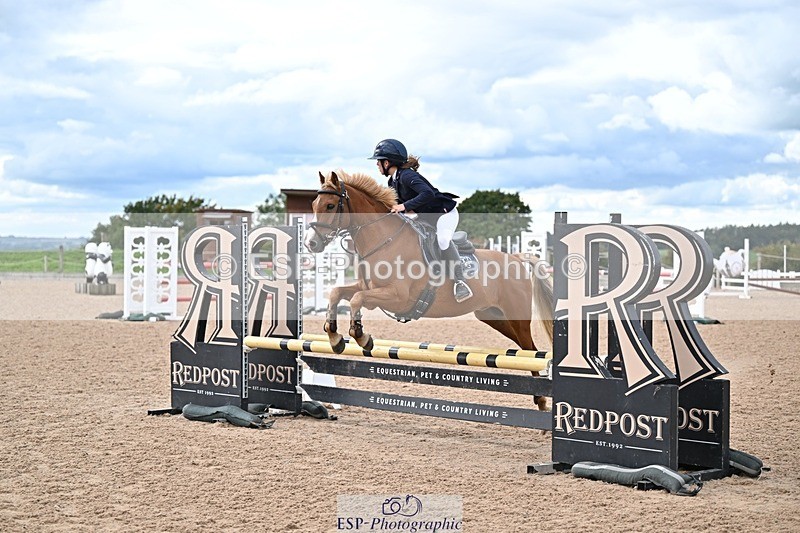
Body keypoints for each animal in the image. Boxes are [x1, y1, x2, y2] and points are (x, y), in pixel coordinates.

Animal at [304, 170, 554, 409]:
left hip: (516, 317)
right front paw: (335, 338)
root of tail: (517, 258)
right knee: (525, 351)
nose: (310, 243)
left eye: (330, 205)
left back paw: (542, 399)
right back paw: (539, 398)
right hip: (493, 316)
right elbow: (337, 293)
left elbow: (356, 299)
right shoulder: (370, 290)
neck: (384, 240)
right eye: (313, 205)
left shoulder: (397, 297)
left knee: (531, 351)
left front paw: (363, 338)